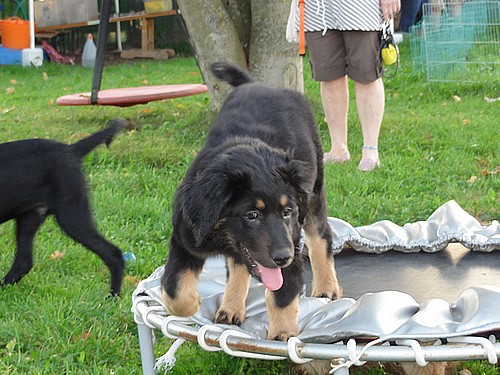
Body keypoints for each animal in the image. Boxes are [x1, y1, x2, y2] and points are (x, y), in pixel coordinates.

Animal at [0, 119, 126, 296]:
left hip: (72, 216)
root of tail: (72, 149)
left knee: (114, 254)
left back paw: (112, 296)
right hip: (29, 218)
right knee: (23, 262)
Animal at [162, 62, 342, 340]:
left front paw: (282, 334)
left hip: (314, 195)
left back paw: (326, 286)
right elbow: (174, 289)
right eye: (251, 215)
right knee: (238, 264)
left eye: (287, 211)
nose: (283, 257)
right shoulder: (186, 239)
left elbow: (282, 294)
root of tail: (258, 84)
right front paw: (192, 304)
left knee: (321, 237)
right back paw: (230, 307)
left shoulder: (292, 240)